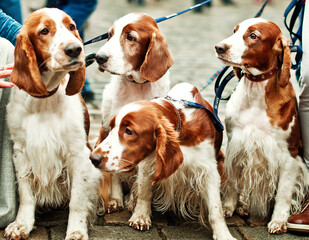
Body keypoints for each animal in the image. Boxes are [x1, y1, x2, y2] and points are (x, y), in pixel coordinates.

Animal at [4, 7, 101, 240]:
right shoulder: (21, 151)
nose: (75, 49)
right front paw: (21, 225)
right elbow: (26, 192)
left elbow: (77, 199)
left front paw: (76, 231)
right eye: (44, 31)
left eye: (71, 26)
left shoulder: (78, 153)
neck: (44, 99)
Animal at [90, 82, 235, 240]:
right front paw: (140, 217)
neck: (180, 121)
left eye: (129, 131)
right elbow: (144, 191)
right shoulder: (148, 164)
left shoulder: (208, 169)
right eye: (111, 128)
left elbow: (215, 208)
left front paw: (223, 234)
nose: (93, 158)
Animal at [94, 12, 172, 212]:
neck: (136, 86)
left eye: (130, 37)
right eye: (109, 35)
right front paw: (115, 199)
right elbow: (112, 171)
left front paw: (134, 202)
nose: (99, 57)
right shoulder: (108, 128)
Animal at [214, 17, 308, 233]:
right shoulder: (236, 144)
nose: (219, 47)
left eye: (253, 35)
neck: (256, 92)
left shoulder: (290, 156)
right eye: (235, 31)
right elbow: (232, 182)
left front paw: (279, 221)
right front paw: (228, 208)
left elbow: (284, 192)